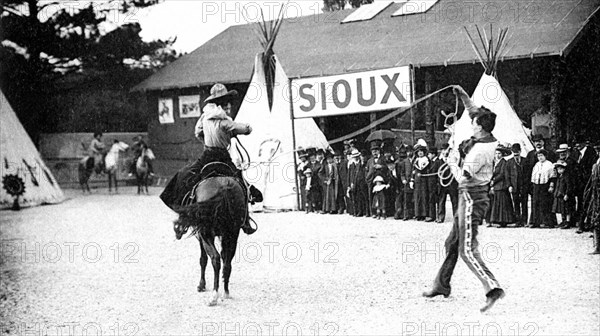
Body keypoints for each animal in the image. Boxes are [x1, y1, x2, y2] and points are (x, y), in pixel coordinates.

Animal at [172, 164, 247, 306]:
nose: (177, 230)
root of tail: (224, 186)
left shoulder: (202, 237)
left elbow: (203, 259)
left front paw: (201, 285)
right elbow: (224, 257)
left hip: (207, 234)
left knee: (215, 259)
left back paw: (214, 295)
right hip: (233, 234)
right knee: (227, 262)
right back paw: (226, 292)